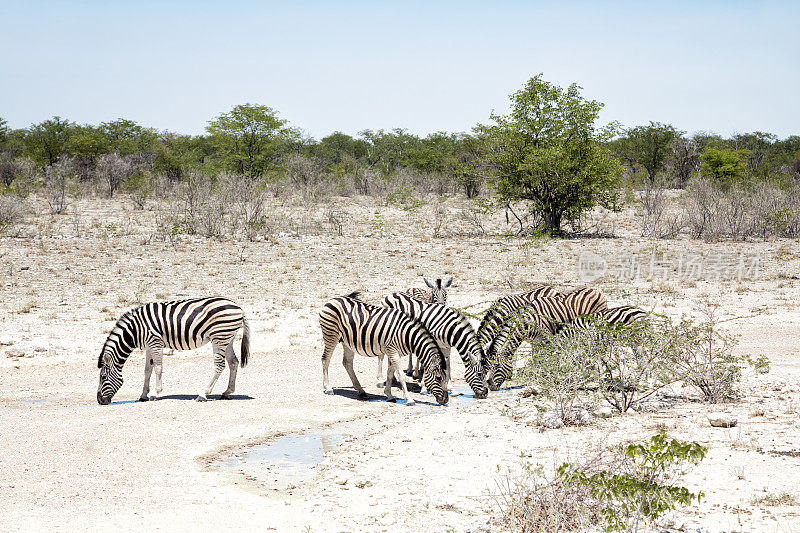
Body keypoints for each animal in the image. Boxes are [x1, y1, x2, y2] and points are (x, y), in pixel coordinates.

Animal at [99, 298, 252, 406]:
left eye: (103, 377)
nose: (100, 401)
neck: (135, 330)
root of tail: (239, 307)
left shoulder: (155, 342)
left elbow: (158, 368)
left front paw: (155, 393)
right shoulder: (148, 345)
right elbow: (147, 369)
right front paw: (143, 395)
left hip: (219, 337)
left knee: (219, 366)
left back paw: (203, 394)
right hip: (228, 338)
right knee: (233, 362)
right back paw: (227, 392)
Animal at [318, 290, 446, 404]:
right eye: (438, 378)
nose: (446, 400)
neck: (406, 334)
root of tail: (334, 299)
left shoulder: (394, 353)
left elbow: (390, 374)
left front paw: (389, 395)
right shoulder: (393, 351)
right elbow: (401, 375)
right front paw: (409, 399)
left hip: (346, 341)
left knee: (347, 363)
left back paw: (361, 391)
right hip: (331, 335)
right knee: (325, 359)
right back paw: (328, 388)